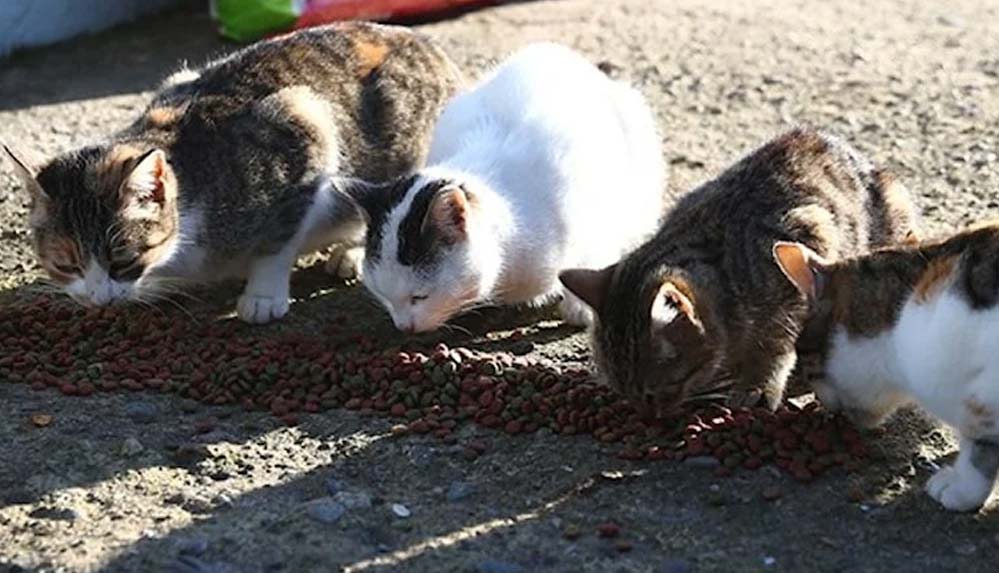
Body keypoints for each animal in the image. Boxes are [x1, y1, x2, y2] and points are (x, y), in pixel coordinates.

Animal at [1, 22, 462, 324]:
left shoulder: (301, 130)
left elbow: (277, 241)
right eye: (65, 264)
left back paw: (348, 251)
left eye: (123, 259)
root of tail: (427, 43)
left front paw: (262, 293)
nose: (99, 301)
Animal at [560, 127, 916, 412]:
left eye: (661, 390)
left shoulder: (805, 246)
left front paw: (756, 384)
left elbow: (773, 343)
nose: (649, 416)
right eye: (624, 394)